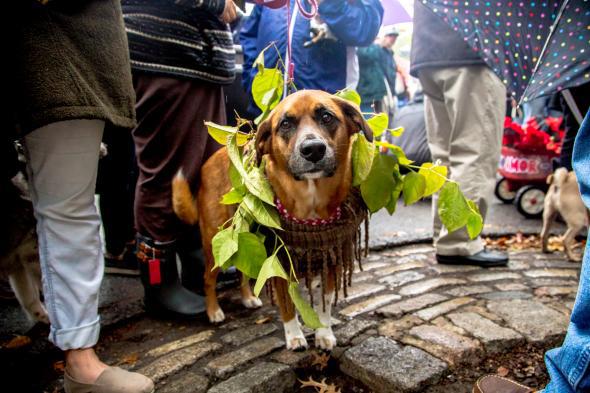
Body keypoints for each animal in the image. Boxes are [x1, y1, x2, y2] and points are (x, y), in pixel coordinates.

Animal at [173, 89, 372, 350]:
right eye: (285, 124)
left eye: (327, 117)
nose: (313, 149)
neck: (311, 202)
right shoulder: (279, 261)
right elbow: (287, 304)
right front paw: (294, 336)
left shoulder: (331, 259)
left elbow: (325, 303)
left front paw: (324, 333)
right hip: (215, 240)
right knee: (208, 277)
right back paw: (213, 311)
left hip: (244, 238)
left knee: (243, 270)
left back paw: (248, 298)